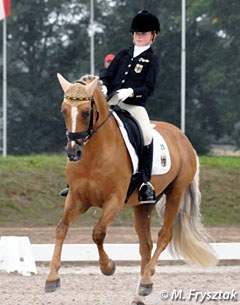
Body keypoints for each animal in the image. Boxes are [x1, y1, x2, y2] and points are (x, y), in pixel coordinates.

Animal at [45, 74, 218, 304]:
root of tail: (182, 137)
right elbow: (61, 229)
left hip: (176, 193)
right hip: (144, 205)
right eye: (63, 110)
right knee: (146, 245)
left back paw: (145, 281)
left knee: (164, 236)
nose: (73, 153)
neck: (94, 154)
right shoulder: (76, 199)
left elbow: (98, 233)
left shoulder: (114, 201)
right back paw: (140, 293)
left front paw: (108, 267)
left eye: (86, 112)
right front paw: (51, 278)